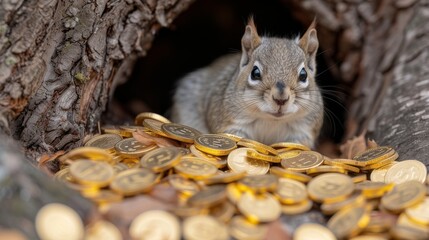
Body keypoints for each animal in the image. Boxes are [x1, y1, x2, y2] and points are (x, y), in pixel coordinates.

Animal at [170, 17, 320, 148]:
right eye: (255, 73)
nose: (280, 99)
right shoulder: (232, 124)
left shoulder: (303, 130)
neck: (270, 120)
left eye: (303, 75)